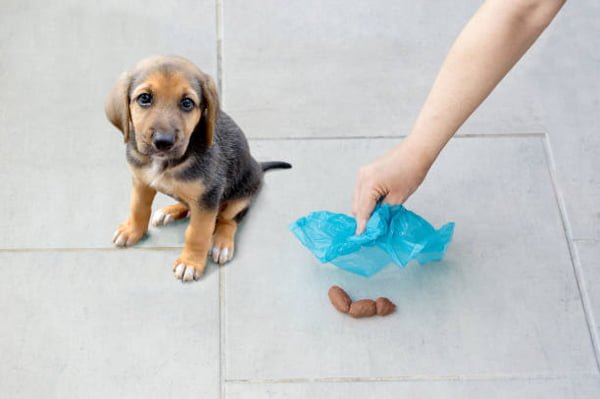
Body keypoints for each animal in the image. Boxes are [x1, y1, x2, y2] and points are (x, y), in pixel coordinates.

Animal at [105, 54, 290, 282]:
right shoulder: (141, 182)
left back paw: (221, 243)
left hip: (241, 195)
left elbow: (198, 233)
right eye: (144, 98)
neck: (166, 163)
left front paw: (190, 262)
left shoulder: (208, 197)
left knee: (229, 219)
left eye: (187, 103)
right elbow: (138, 208)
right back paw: (170, 211)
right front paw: (132, 231)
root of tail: (258, 165)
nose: (163, 142)